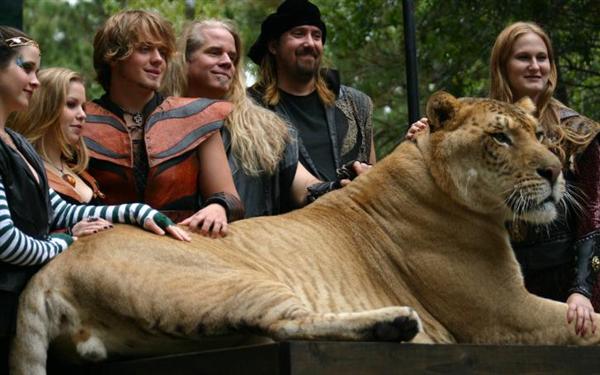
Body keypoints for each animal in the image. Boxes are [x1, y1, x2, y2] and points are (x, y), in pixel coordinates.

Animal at [9, 92, 600, 375]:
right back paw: (396, 324)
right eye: (500, 138)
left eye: (541, 134)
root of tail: (50, 271)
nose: (556, 172)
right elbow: (590, 325)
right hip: (226, 282)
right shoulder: (501, 313)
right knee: (287, 325)